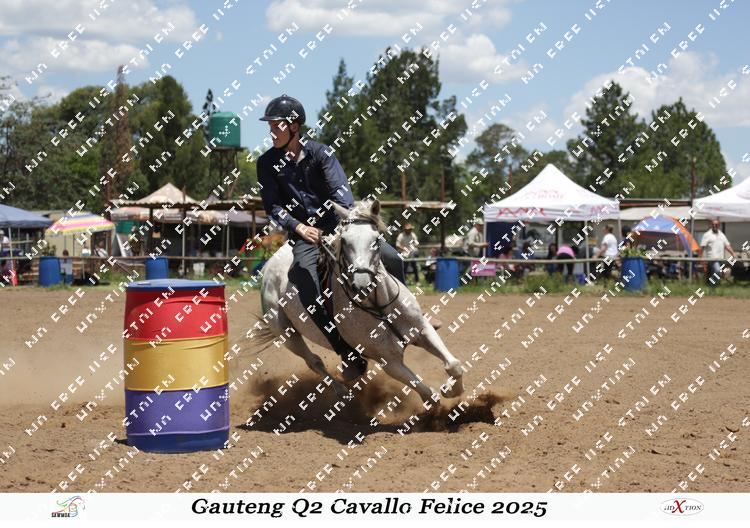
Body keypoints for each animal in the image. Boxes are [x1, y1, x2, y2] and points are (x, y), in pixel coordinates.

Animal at [251, 199, 465, 405]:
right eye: (344, 241)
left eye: (376, 240)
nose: (362, 284)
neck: (380, 307)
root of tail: (269, 264)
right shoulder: (390, 363)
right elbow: (429, 395)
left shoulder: (423, 330)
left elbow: (454, 366)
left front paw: (451, 390)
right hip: (287, 334)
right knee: (314, 362)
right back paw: (342, 391)